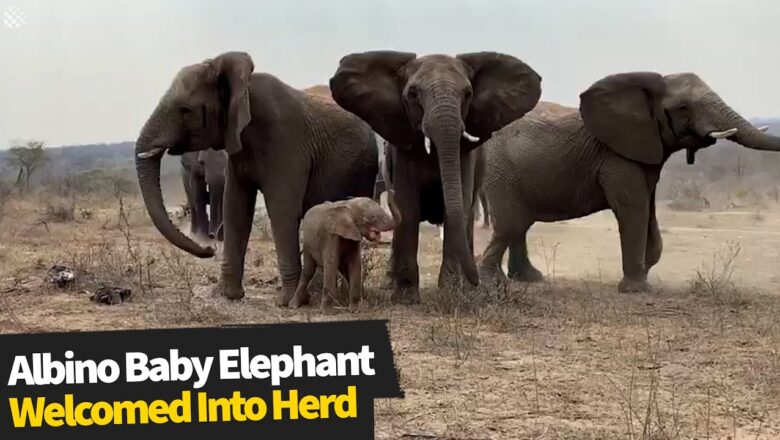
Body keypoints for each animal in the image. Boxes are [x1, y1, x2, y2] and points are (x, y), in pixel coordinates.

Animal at [134, 52, 378, 306]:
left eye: (185, 110)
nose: (209, 250)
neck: (244, 88)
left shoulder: (285, 141)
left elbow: (282, 210)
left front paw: (287, 302)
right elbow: (236, 207)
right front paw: (228, 294)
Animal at [330, 50, 544, 302]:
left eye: (468, 93)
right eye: (412, 94)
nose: (477, 281)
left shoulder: (465, 156)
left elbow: (458, 206)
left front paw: (451, 293)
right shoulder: (403, 153)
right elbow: (407, 209)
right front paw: (406, 298)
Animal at [482, 72, 780, 292]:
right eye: (684, 107)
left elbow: (649, 210)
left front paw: (644, 273)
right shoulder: (616, 156)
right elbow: (633, 207)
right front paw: (637, 288)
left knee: (519, 225)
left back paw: (529, 278)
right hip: (500, 169)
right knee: (511, 224)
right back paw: (492, 281)